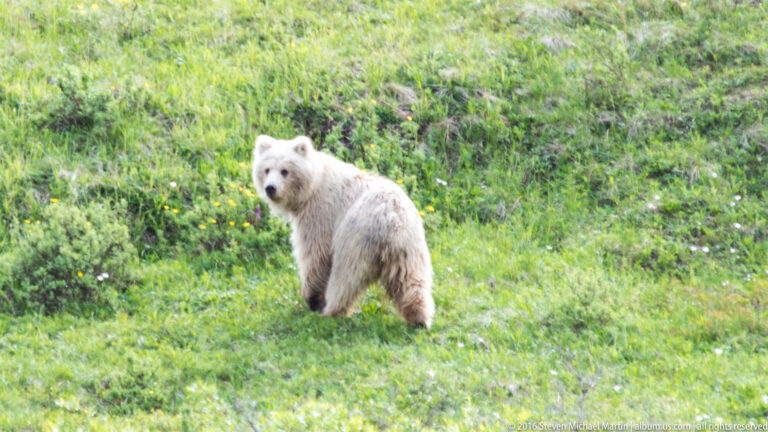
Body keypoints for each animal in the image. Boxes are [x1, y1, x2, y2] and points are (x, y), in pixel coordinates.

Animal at [252, 135, 435, 328]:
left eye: (285, 171)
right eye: (266, 169)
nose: (270, 188)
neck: (311, 188)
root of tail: (390, 218)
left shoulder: (320, 214)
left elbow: (315, 255)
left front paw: (312, 298)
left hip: (355, 239)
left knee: (345, 278)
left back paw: (331, 311)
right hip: (409, 247)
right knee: (411, 281)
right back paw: (419, 318)